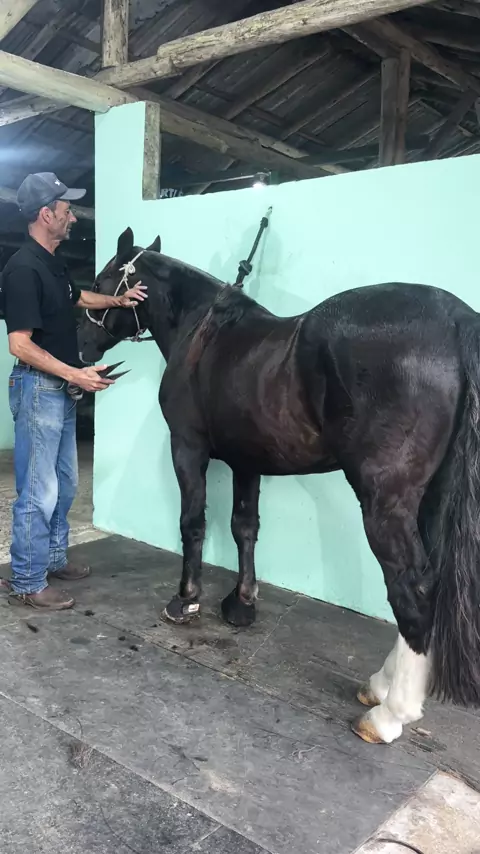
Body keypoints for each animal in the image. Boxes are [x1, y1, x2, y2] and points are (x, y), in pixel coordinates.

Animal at [77, 226, 480, 745]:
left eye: (101, 281)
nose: (82, 344)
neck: (204, 334)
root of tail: (456, 320)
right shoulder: (248, 460)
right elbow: (244, 527)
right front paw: (241, 603)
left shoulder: (188, 448)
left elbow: (193, 522)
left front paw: (186, 599)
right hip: (433, 496)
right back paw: (379, 686)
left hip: (385, 501)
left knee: (413, 588)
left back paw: (391, 714)